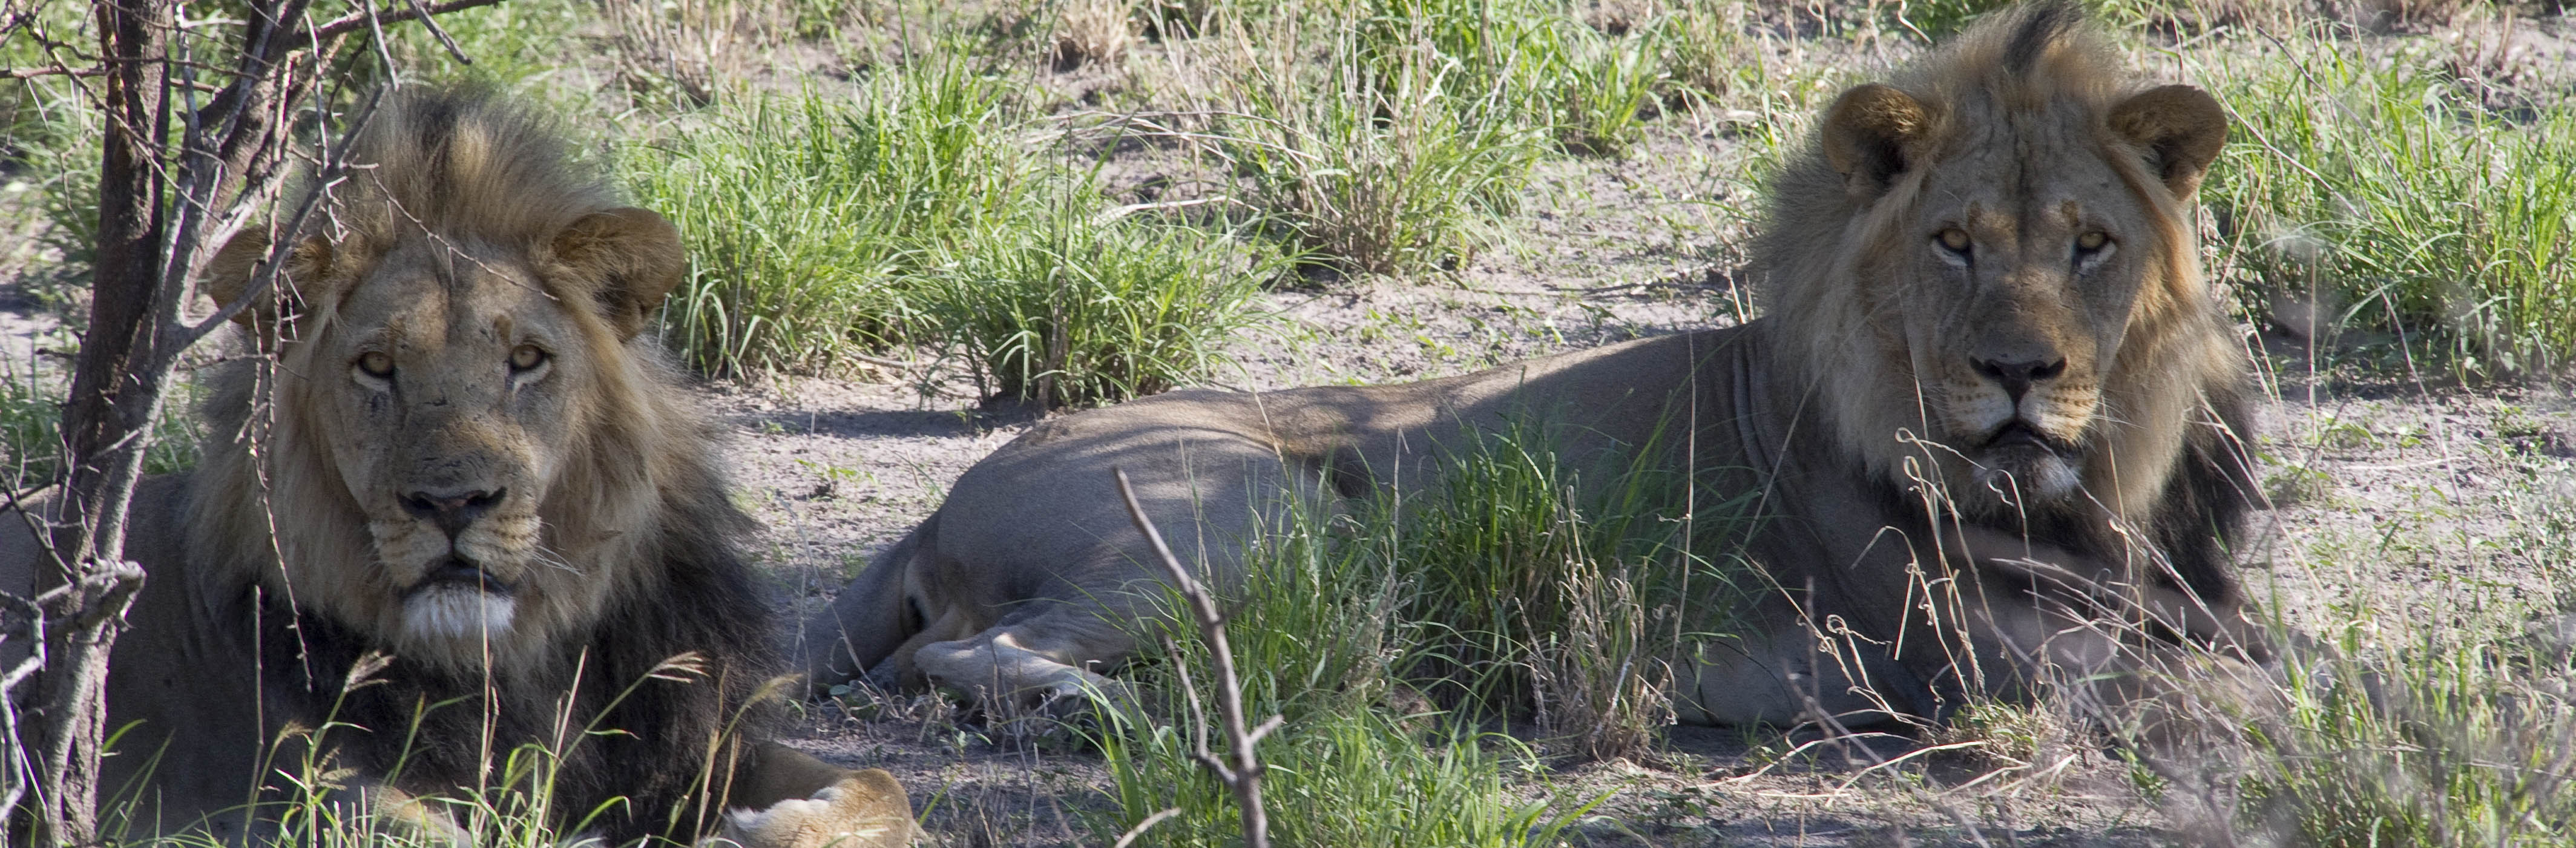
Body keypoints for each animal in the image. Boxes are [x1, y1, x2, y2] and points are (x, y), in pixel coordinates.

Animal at [2, 87, 917, 845]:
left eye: (527, 360)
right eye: (376, 367)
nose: (452, 503)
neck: (518, 666)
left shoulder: (692, 745)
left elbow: (886, 783)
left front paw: (773, 827)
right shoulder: (278, 786)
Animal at [798, 1, 2256, 726]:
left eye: (2088, 244)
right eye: (1954, 243)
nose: (2019, 372)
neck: (2102, 484)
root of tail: (938, 503)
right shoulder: (1990, 653)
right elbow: (2236, 691)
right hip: (1261, 519)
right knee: (964, 654)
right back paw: (1119, 710)